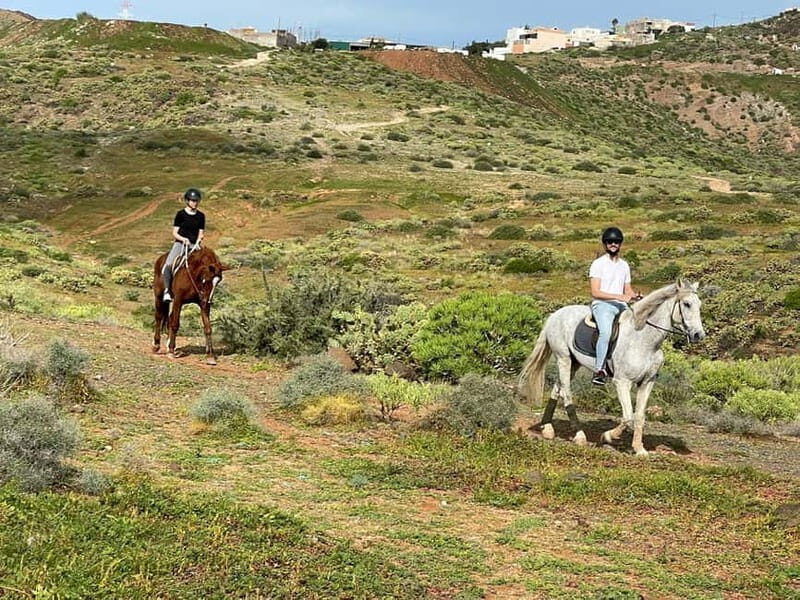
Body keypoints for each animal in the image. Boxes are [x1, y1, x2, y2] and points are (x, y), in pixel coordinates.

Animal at [518, 279, 705, 456]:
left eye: (699, 304)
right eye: (687, 304)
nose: (699, 335)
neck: (644, 340)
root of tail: (555, 314)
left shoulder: (647, 382)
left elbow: (639, 417)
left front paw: (639, 449)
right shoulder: (622, 382)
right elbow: (628, 417)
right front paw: (607, 437)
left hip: (573, 363)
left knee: (557, 388)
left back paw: (547, 428)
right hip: (563, 359)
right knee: (567, 393)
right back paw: (579, 436)